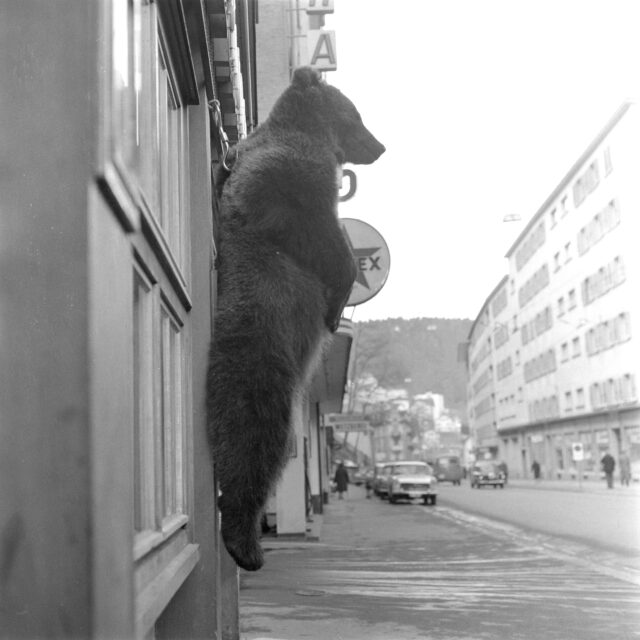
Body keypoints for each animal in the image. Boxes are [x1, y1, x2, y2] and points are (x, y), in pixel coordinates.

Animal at [207, 66, 385, 571]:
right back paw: (245, 542)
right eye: (356, 114)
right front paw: (339, 296)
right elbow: (323, 237)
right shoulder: (292, 180)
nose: (380, 146)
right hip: (261, 326)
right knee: (255, 422)